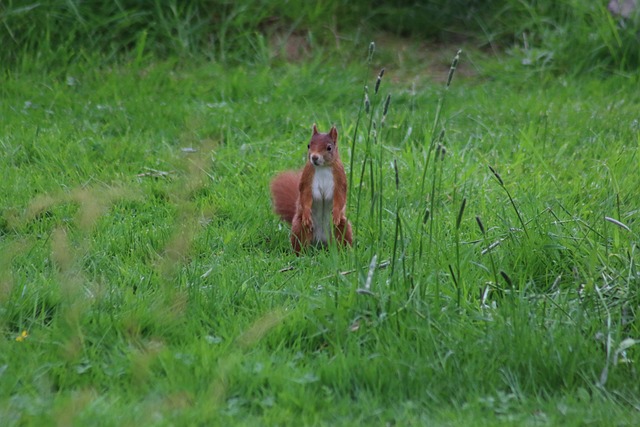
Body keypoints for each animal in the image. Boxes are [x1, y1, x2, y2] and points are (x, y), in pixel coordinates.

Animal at [268, 123, 352, 252]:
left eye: (329, 148)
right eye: (308, 145)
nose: (314, 157)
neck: (323, 167)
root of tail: (321, 242)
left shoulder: (340, 179)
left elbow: (340, 197)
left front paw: (336, 214)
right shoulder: (307, 178)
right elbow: (305, 195)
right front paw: (307, 213)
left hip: (343, 227)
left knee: (342, 237)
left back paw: (345, 252)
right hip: (299, 227)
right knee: (300, 243)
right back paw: (300, 254)